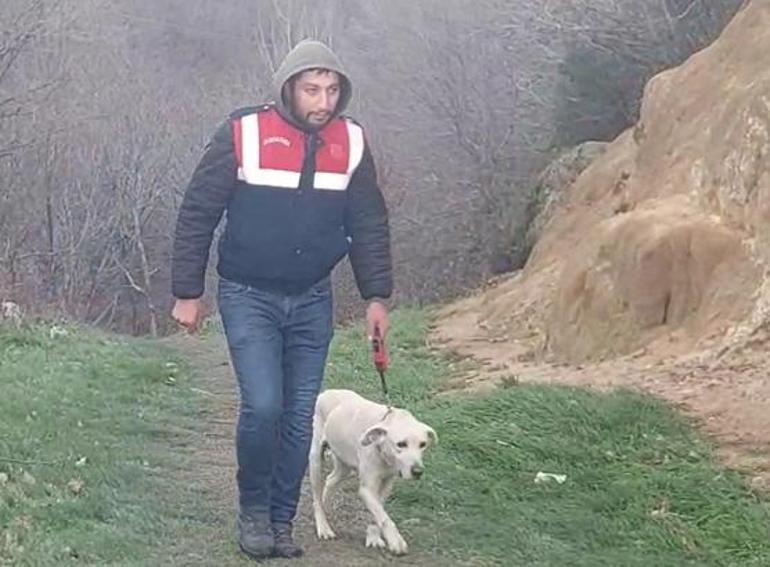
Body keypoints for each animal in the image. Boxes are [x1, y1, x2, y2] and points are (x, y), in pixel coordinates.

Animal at [309, 388, 437, 555]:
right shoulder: (367, 489)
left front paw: (374, 537)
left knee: (330, 480)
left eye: (423, 444)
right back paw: (323, 526)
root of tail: (327, 392)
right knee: (316, 497)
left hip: (344, 466)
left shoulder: (386, 484)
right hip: (315, 460)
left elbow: (378, 511)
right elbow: (383, 516)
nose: (418, 471)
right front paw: (395, 540)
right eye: (401, 444)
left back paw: (326, 506)